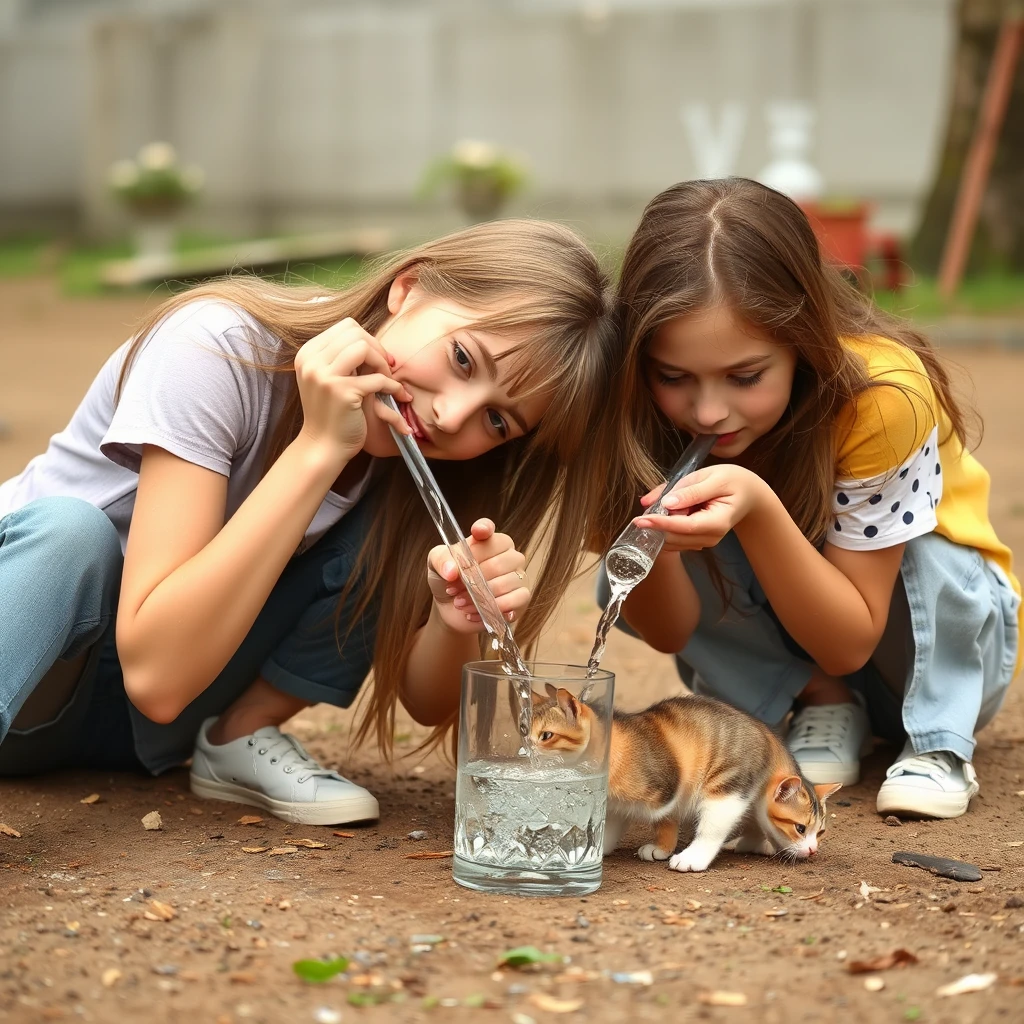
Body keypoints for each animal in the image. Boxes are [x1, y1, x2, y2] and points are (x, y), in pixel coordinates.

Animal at [528, 684, 839, 876]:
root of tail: (767, 735)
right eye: (527, 732)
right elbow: (610, 824)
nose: (526, 751)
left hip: (726, 784)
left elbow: (666, 818)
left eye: (547, 736)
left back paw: (695, 857)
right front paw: (591, 850)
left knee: (715, 825)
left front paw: (664, 849)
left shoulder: (669, 789)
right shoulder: (616, 803)